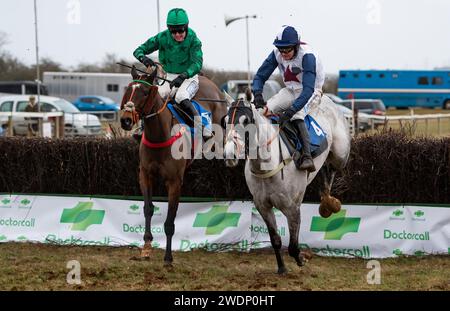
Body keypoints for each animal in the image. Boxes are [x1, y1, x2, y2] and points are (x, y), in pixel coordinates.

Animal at [119, 66, 227, 266]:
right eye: (128, 90)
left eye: (145, 92)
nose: (126, 121)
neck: (159, 136)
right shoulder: (145, 175)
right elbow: (148, 209)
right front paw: (146, 247)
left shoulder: (174, 182)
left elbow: (170, 220)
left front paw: (168, 257)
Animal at [224, 91, 352, 274]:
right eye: (225, 120)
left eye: (246, 120)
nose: (230, 155)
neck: (268, 166)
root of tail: (327, 98)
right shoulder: (263, 206)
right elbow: (276, 240)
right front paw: (282, 268)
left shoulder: (292, 208)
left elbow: (292, 246)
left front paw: (302, 258)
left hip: (340, 154)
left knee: (332, 166)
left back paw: (329, 200)